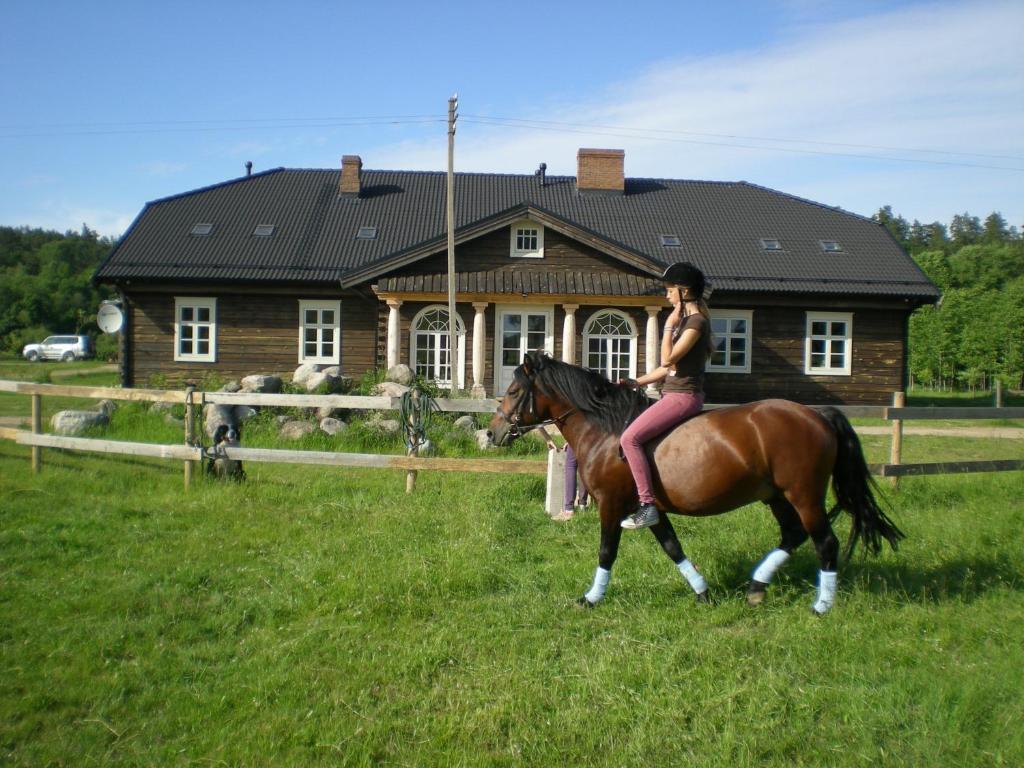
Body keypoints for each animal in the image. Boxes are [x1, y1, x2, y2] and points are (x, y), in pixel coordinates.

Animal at [489, 352, 905, 618]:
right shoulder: (649, 509)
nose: (493, 433)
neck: (606, 430)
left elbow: (607, 552)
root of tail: (816, 415)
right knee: (792, 535)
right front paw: (703, 593)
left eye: (513, 392)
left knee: (825, 542)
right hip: (775, 496)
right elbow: (673, 548)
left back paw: (821, 606)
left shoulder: (611, 504)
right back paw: (757, 588)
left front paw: (591, 598)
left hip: (804, 495)